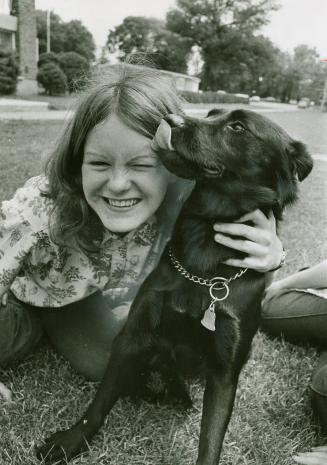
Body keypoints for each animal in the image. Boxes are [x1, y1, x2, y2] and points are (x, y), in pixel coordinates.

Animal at [37, 109, 314, 464]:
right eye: (211, 113)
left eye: (238, 127)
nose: (171, 119)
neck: (206, 254)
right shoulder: (133, 334)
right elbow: (100, 400)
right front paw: (72, 439)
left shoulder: (224, 371)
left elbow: (211, 440)